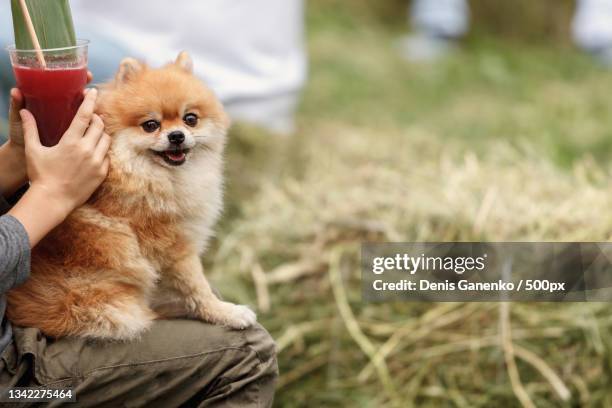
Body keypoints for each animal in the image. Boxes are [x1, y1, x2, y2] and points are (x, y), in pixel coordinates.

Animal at [5, 52, 256, 340]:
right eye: (151, 125)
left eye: (190, 119)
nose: (177, 135)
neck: (150, 176)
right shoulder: (175, 248)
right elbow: (197, 288)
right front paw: (226, 312)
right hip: (113, 308)